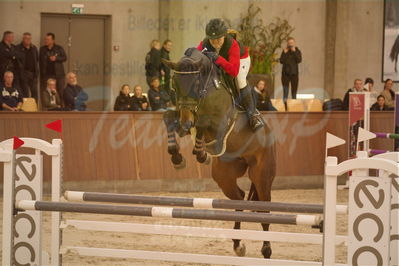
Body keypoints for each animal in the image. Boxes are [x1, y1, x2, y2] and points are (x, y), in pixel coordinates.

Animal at [161, 47, 276, 258]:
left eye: (195, 83)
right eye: (175, 85)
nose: (186, 123)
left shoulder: (218, 125)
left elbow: (202, 124)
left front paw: (201, 154)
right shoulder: (183, 117)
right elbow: (168, 116)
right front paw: (177, 157)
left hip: (262, 175)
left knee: (264, 211)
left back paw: (266, 249)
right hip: (225, 176)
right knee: (239, 198)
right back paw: (238, 244)